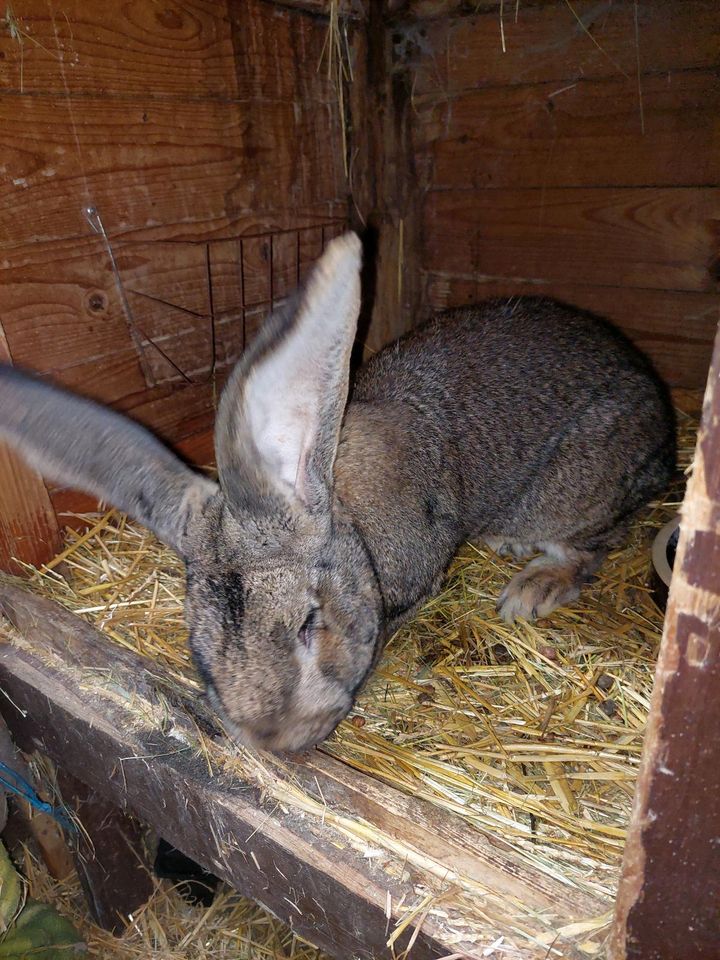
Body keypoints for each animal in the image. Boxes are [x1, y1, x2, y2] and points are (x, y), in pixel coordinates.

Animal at [0, 232, 676, 752]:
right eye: (201, 652)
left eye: (310, 622)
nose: (280, 741)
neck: (344, 506)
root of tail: (666, 434)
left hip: (572, 496)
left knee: (588, 549)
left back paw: (530, 587)